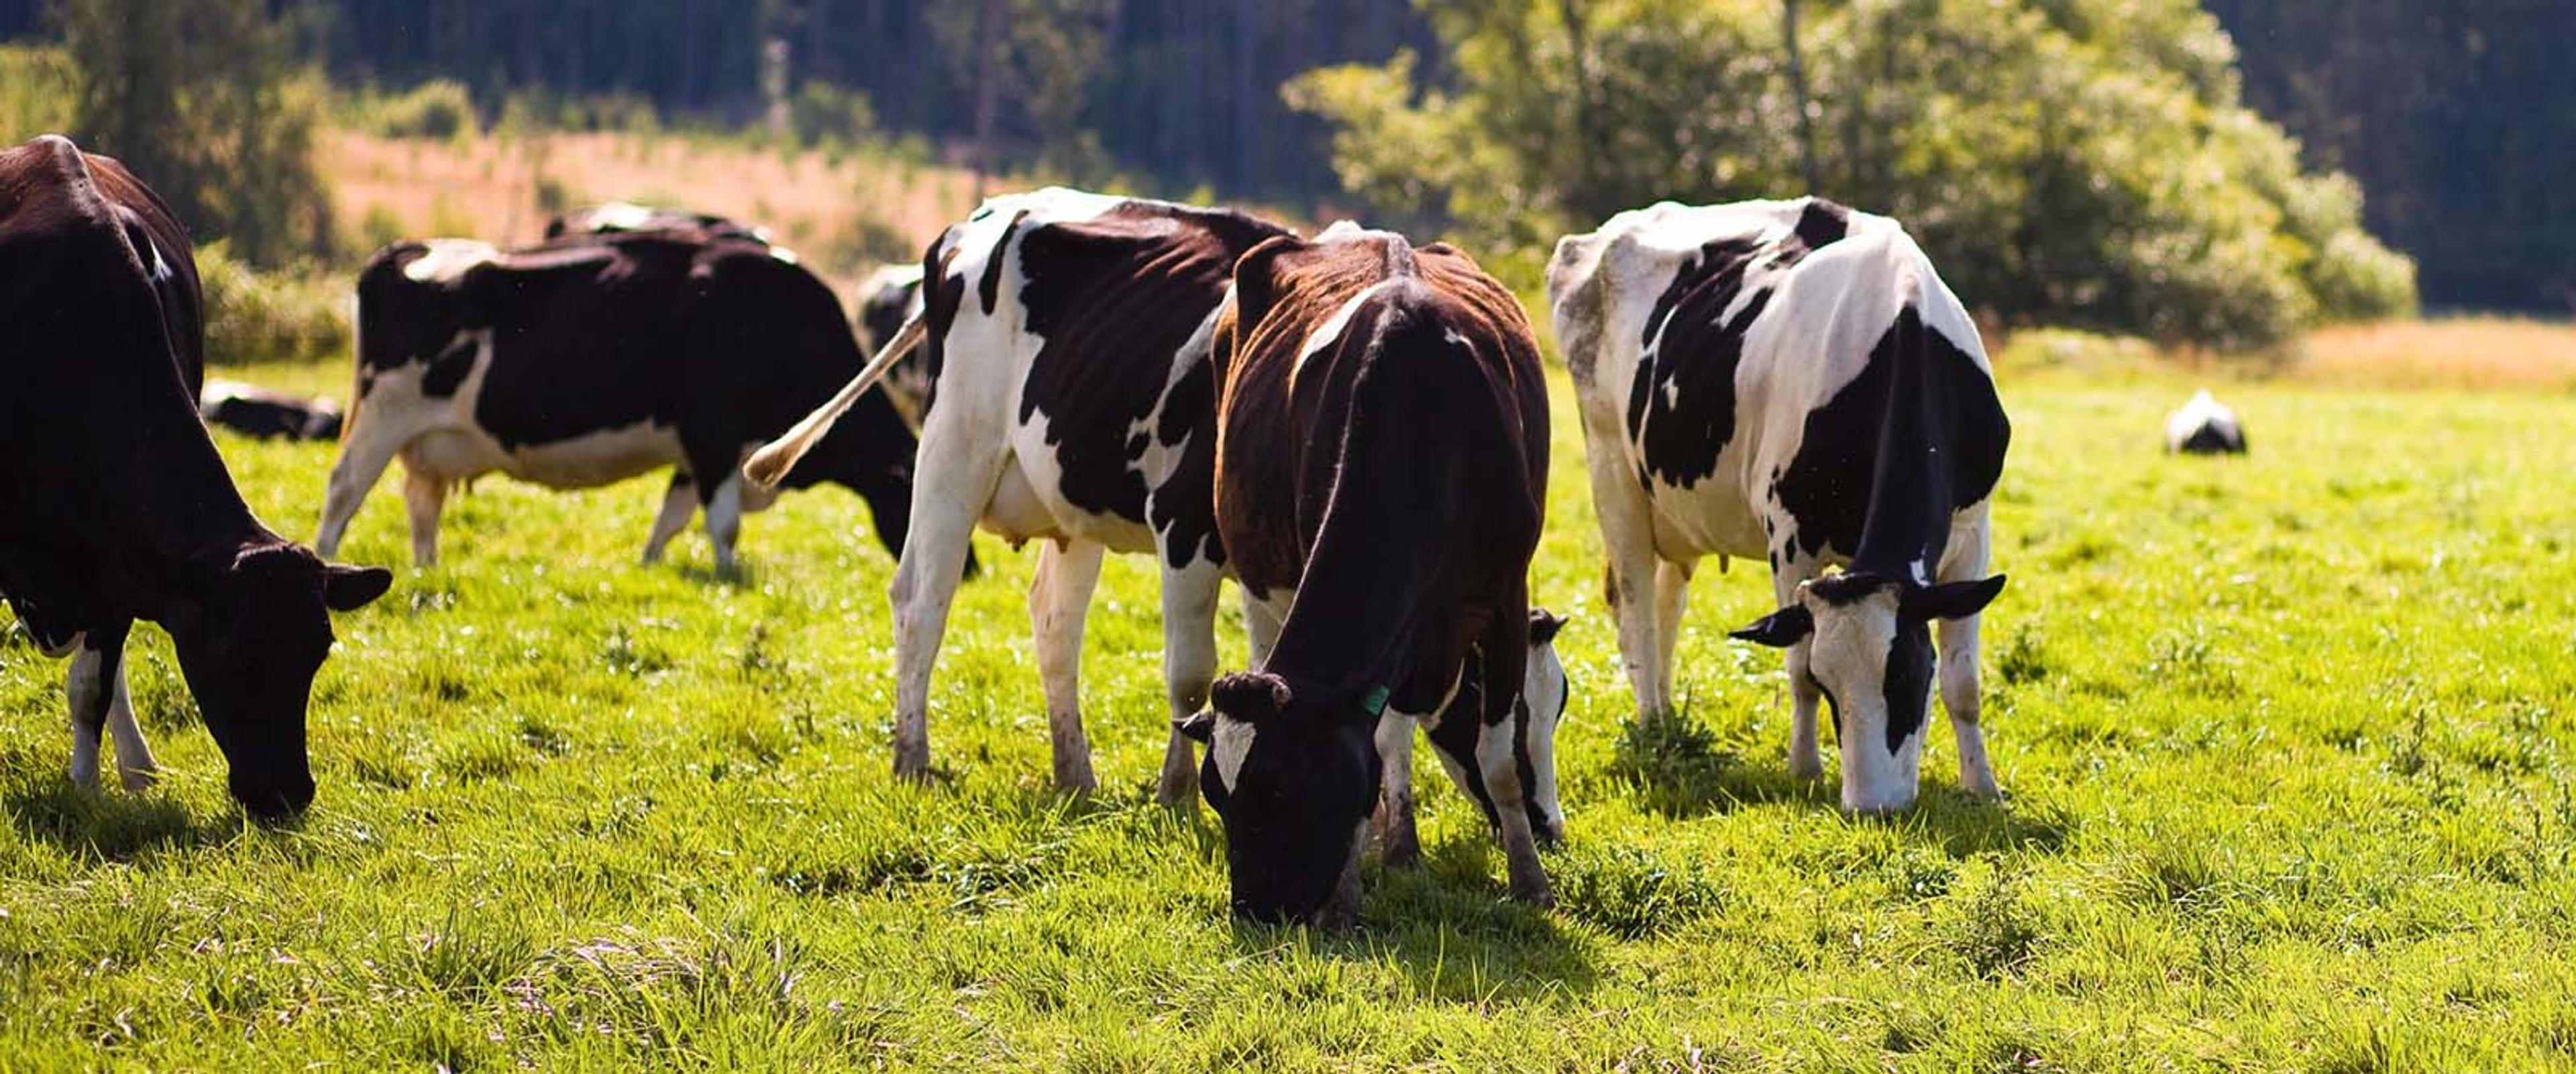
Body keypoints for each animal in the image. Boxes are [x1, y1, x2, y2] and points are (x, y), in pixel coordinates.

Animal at [314, 228, 922, 575]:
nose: (965, 570)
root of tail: (409, 249)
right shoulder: (713, 436)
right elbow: (723, 524)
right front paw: (728, 576)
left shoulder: (699, 451)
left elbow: (670, 519)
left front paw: (649, 566)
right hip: (382, 416)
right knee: (344, 489)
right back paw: (325, 561)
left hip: (430, 439)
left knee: (423, 502)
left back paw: (427, 570)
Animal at [746, 188, 1293, 802]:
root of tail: (992, 211)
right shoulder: (1184, 524)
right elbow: (1193, 679)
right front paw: (1177, 801)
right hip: (954, 452)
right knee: (920, 602)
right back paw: (913, 763)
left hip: (1071, 497)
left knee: (1055, 623)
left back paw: (1074, 777)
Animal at [1175, 225, 1562, 925]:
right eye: (1217, 795)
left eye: (1279, 788)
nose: (1255, 910)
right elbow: (1377, 748)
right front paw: (1350, 892)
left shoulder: (1503, 600)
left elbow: (1491, 764)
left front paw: (1531, 882)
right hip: (1259, 582)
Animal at [1547, 197, 2010, 815]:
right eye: (1832, 685)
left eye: (1910, 675)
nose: (1873, 807)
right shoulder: (1791, 535)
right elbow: (1795, 665)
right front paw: (1806, 768)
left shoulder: (1971, 532)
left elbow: (1966, 682)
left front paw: (1982, 786)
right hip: (1611, 467)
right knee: (1636, 608)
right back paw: (1650, 726)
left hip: (1674, 511)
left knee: (1667, 607)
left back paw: (1668, 717)